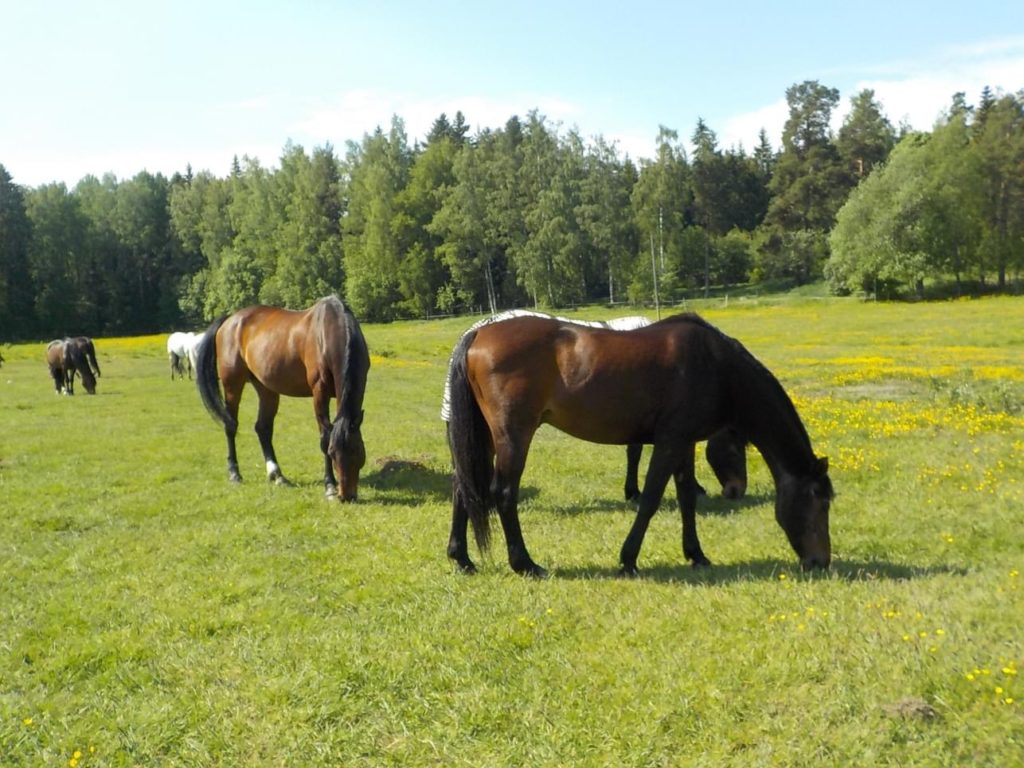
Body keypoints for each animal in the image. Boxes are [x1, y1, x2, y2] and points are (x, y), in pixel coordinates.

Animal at [193, 292, 370, 499]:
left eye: (358, 450)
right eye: (332, 452)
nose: (347, 496)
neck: (329, 332)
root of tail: (230, 320)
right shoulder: (319, 392)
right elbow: (324, 436)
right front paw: (329, 486)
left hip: (266, 389)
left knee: (262, 428)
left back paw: (277, 475)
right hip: (232, 385)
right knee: (230, 425)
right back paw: (235, 473)